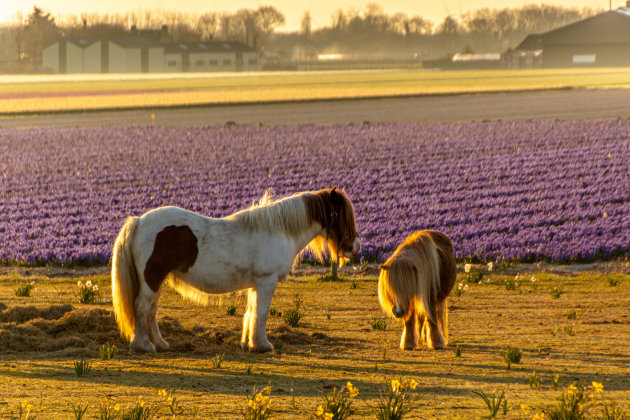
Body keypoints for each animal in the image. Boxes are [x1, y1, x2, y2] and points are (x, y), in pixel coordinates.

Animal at [112, 187, 360, 352]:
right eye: (341, 215)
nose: (355, 247)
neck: (279, 230)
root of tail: (139, 221)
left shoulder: (256, 284)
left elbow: (251, 312)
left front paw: (248, 343)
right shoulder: (267, 281)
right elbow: (261, 313)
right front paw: (262, 345)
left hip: (156, 281)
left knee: (151, 311)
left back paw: (160, 343)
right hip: (151, 279)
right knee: (141, 308)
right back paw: (143, 345)